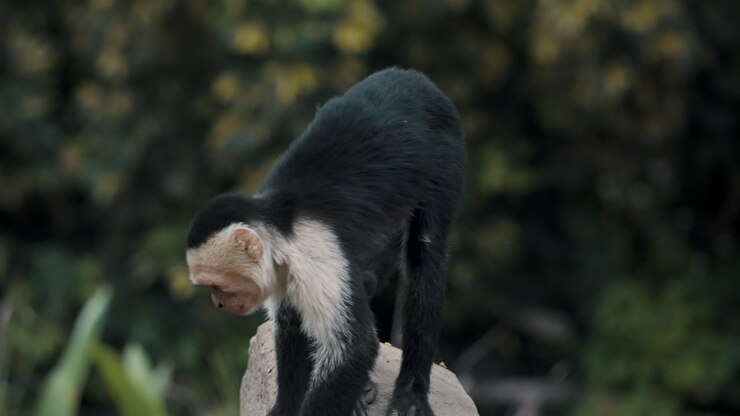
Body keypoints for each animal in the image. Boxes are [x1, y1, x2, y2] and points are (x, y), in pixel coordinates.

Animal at [186, 67, 464, 416]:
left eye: (218, 285)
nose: (218, 304)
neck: (283, 227)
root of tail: (412, 76)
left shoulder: (314, 251)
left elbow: (353, 348)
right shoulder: (286, 273)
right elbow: (293, 328)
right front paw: (284, 408)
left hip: (445, 152)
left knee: (424, 256)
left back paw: (411, 394)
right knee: (368, 272)